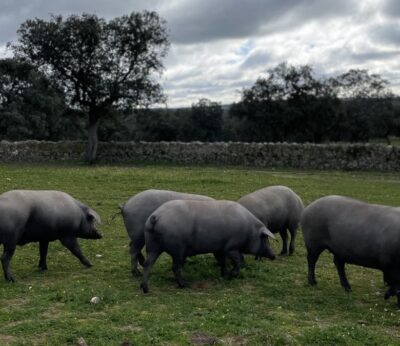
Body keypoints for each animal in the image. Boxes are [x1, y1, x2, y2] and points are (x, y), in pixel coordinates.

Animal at [140, 199, 276, 294]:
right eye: (265, 238)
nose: (274, 255)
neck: (250, 231)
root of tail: (156, 216)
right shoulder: (231, 247)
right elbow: (239, 261)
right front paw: (230, 275)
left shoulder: (219, 249)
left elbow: (222, 262)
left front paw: (223, 274)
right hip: (177, 249)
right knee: (175, 267)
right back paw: (184, 285)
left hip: (152, 246)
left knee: (148, 264)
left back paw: (145, 289)